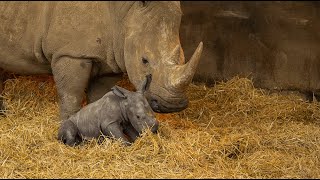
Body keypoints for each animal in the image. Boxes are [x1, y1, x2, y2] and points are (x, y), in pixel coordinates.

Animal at [0, 1, 202, 121]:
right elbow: (71, 95)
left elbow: (100, 95)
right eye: (144, 60)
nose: (172, 105)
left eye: (183, 57)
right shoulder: (70, 52)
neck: (125, 12)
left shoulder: (111, 56)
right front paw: (67, 128)